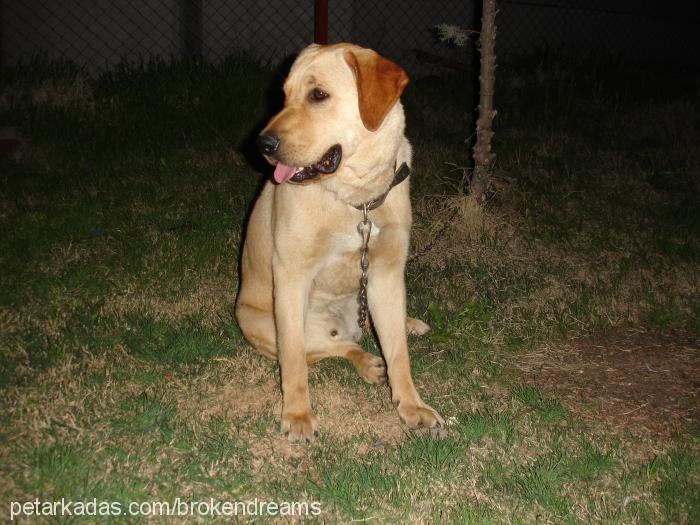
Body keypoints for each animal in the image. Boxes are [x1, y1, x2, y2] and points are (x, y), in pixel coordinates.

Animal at [235, 42, 442, 442]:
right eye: (284, 95)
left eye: (318, 95)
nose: (262, 144)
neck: (356, 198)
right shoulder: (291, 278)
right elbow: (294, 363)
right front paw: (297, 414)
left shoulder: (387, 275)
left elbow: (399, 353)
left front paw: (412, 406)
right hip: (266, 323)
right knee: (331, 348)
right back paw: (365, 362)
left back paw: (405, 327)